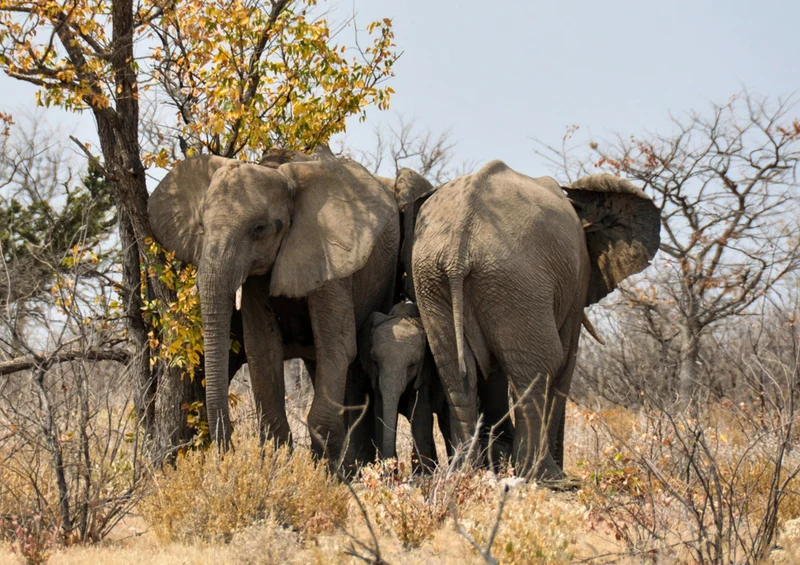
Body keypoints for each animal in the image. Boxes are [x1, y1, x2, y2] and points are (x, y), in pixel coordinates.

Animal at [148, 145, 400, 465]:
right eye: (202, 226)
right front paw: (278, 465)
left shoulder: (331, 258)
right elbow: (262, 348)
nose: (227, 452)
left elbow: (337, 346)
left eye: (259, 229)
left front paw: (325, 472)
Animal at [358, 300, 451, 472]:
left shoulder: (425, 371)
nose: (391, 467)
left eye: (412, 365)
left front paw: (422, 475)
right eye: (375, 362)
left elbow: (420, 412)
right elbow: (380, 410)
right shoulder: (377, 377)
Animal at [411, 162, 660, 482]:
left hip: (435, 281)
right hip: (514, 280)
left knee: (455, 372)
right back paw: (544, 476)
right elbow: (566, 360)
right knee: (544, 364)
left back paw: (465, 473)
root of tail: (457, 251)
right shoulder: (577, 277)